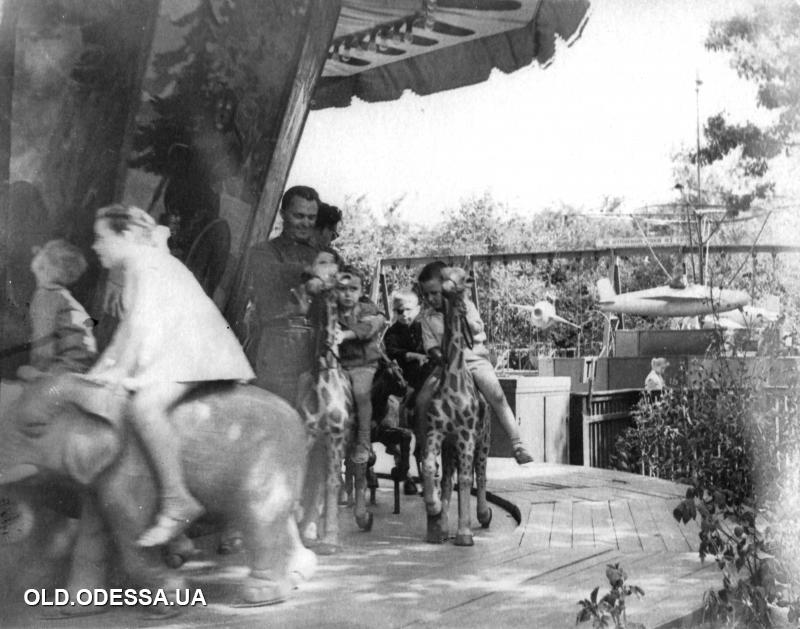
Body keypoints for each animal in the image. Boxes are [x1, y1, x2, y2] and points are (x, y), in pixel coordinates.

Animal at [0, 372, 316, 613]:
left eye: (34, 427)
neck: (92, 390)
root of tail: (296, 418)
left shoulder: (131, 468)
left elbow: (131, 531)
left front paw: (172, 600)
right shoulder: (97, 475)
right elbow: (91, 533)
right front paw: (74, 609)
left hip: (267, 457)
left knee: (260, 516)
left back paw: (261, 596)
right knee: (280, 517)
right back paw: (299, 573)